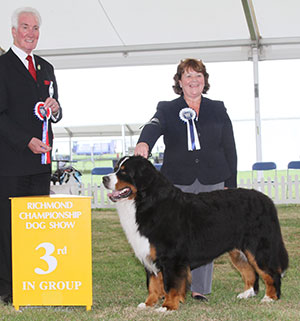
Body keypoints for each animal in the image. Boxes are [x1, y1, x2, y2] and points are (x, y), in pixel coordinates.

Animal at [102, 155, 288, 310]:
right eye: (116, 167)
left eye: (124, 171)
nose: (104, 178)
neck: (146, 202)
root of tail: (266, 200)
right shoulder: (149, 252)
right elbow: (153, 284)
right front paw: (148, 304)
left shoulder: (171, 258)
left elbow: (171, 285)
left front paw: (167, 306)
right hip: (238, 251)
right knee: (250, 272)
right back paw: (247, 293)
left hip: (259, 248)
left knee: (271, 273)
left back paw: (270, 298)